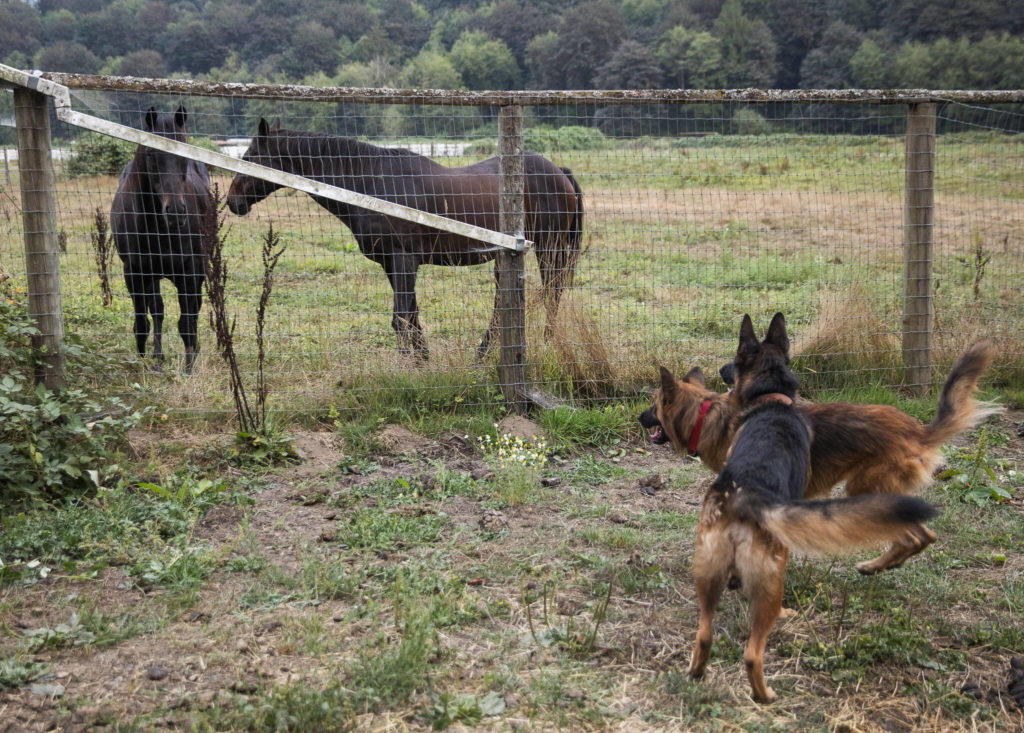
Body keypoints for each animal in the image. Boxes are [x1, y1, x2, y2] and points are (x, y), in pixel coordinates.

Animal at [112, 104, 211, 372]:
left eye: (184, 149)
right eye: (149, 153)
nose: (176, 212)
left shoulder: (190, 272)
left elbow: (187, 324)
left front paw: (189, 370)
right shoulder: (135, 273)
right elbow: (142, 323)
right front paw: (144, 363)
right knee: (157, 310)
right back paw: (157, 357)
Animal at [227, 118, 581, 360]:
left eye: (250, 157)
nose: (233, 202)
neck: (373, 184)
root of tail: (559, 172)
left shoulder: (403, 261)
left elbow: (401, 319)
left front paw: (408, 368)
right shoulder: (392, 264)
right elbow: (411, 316)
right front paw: (423, 360)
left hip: (548, 248)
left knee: (551, 294)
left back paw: (540, 344)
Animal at [634, 339, 995, 577]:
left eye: (653, 404)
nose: (638, 416)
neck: (706, 416)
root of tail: (917, 431)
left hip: (866, 490)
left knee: (916, 535)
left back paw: (875, 565)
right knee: (922, 536)